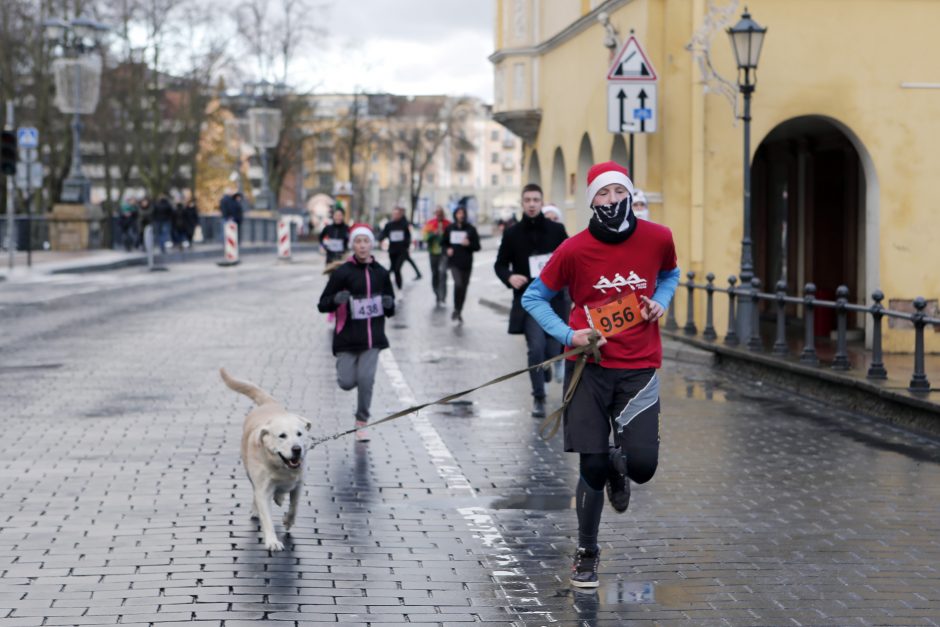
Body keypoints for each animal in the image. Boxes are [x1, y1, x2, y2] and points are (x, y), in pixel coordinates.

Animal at [218, 370, 310, 552]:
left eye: (300, 434)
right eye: (282, 436)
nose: (297, 449)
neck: (281, 467)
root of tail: (268, 403)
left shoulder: (298, 484)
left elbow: (294, 506)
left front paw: (288, 521)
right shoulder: (263, 488)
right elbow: (266, 516)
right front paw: (272, 541)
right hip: (250, 472)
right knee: (255, 493)